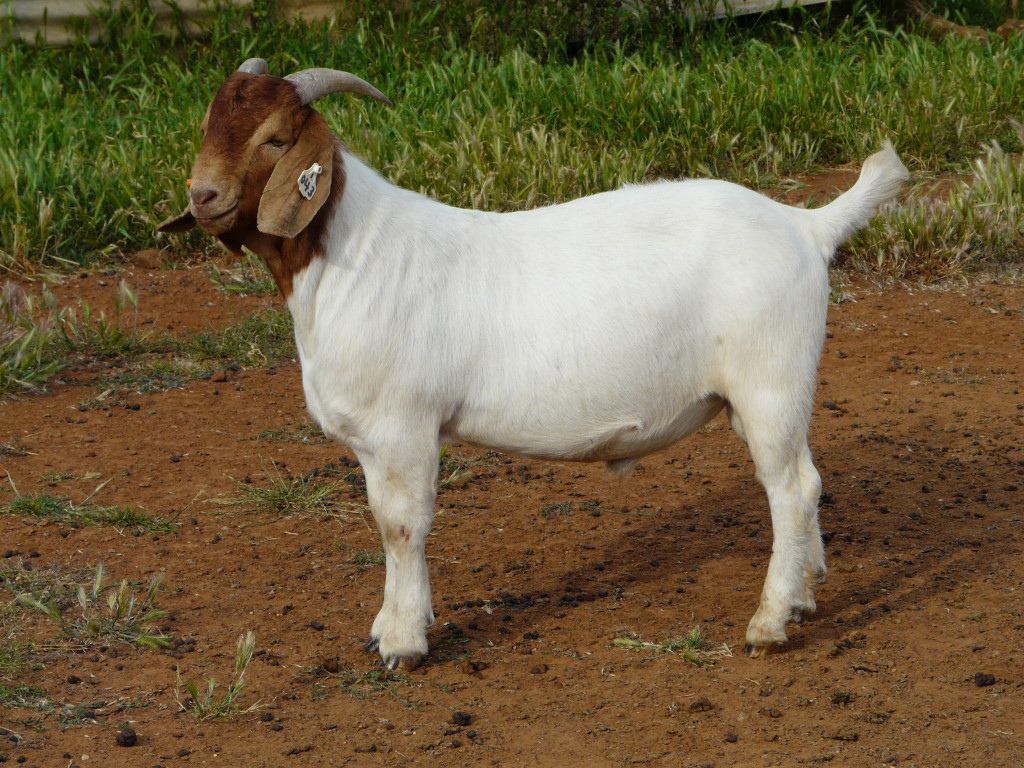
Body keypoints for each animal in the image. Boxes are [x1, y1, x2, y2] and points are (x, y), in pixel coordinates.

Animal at [159, 57, 913, 671]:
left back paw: (769, 622)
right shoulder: (370, 442)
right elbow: (382, 523)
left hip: (770, 379)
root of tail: (807, 226)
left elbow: (403, 526)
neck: (354, 253)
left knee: (792, 488)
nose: (203, 197)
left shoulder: (404, 427)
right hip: (769, 389)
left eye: (274, 139)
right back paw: (806, 594)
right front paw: (387, 627)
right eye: (208, 124)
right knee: (805, 478)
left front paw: (404, 644)